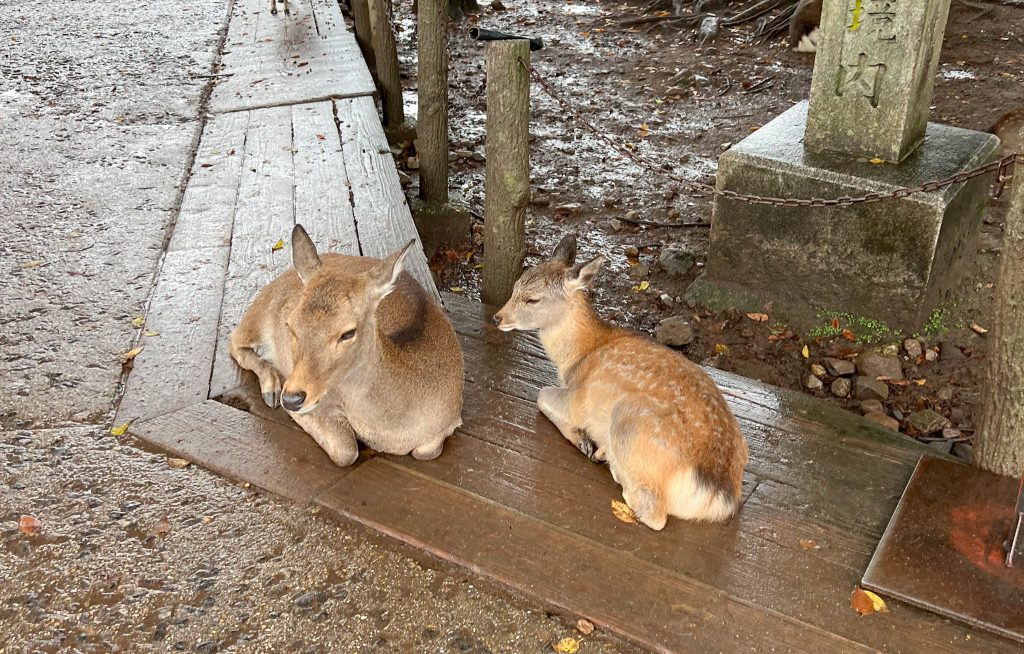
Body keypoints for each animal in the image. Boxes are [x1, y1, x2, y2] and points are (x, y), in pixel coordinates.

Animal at [229, 225, 464, 466]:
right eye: (290, 324)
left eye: (348, 333)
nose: (292, 399)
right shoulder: (326, 399)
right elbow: (346, 451)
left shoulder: (449, 423)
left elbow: (426, 451)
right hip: (260, 312)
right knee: (234, 339)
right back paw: (272, 388)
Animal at [491, 235, 749, 532]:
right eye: (515, 286)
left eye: (533, 299)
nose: (498, 317)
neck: (579, 356)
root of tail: (718, 493)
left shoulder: (578, 399)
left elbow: (541, 394)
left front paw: (583, 439)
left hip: (631, 420)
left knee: (654, 513)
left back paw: (609, 460)